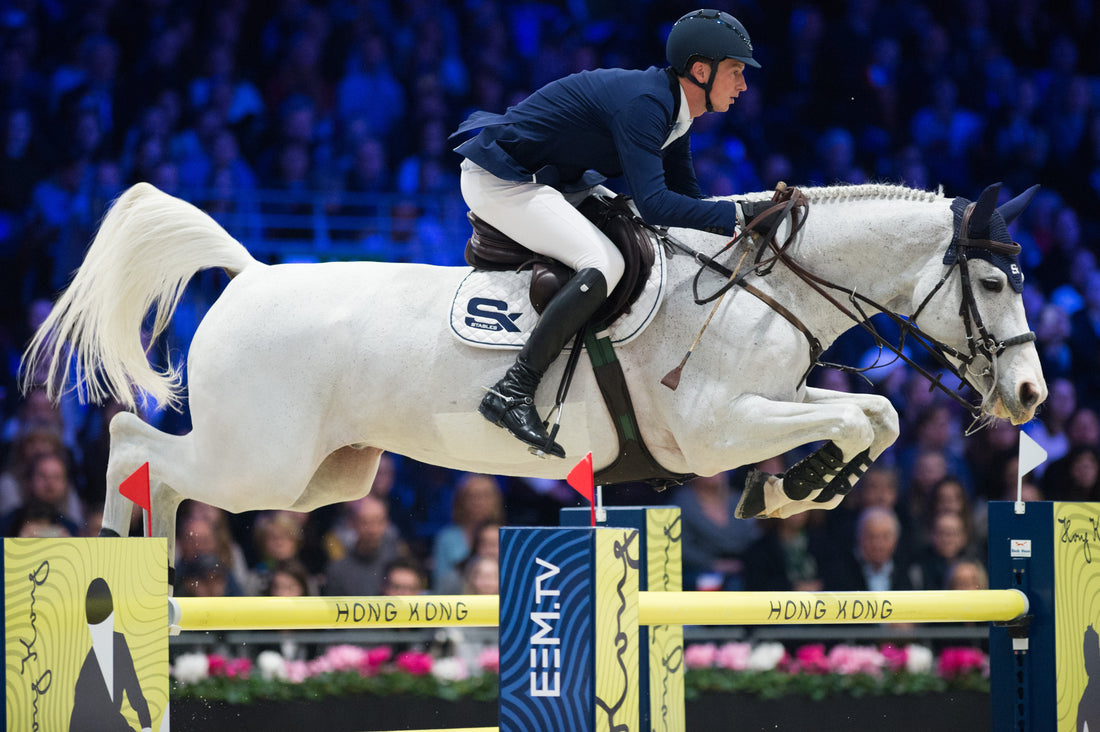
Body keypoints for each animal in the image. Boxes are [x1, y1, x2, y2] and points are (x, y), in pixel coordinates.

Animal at [21, 179, 1042, 561]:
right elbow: (855, 418)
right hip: (258, 464)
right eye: (994, 281)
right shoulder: (719, 427)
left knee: (164, 467)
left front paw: (800, 489)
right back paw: (114, 548)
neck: (768, 285)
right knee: (134, 442)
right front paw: (793, 486)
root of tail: (252, 275)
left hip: (321, 477)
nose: (1031, 394)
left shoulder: (773, 400)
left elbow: (875, 416)